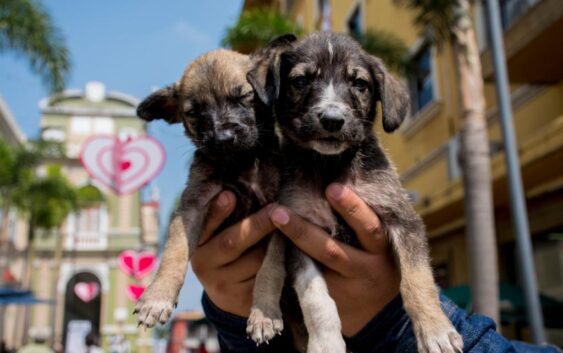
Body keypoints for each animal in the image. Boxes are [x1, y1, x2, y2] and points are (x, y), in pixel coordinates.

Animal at [132, 46, 286, 328]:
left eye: (244, 96)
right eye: (194, 112)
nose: (223, 137)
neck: (241, 162)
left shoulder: (280, 213)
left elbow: (271, 267)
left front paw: (264, 314)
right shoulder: (192, 207)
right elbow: (175, 251)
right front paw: (157, 297)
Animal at [249, 32, 464, 352]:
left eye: (359, 84)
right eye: (300, 80)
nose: (332, 119)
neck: (329, 166)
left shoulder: (403, 219)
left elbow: (417, 279)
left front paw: (435, 329)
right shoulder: (298, 231)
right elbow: (316, 298)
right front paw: (326, 344)